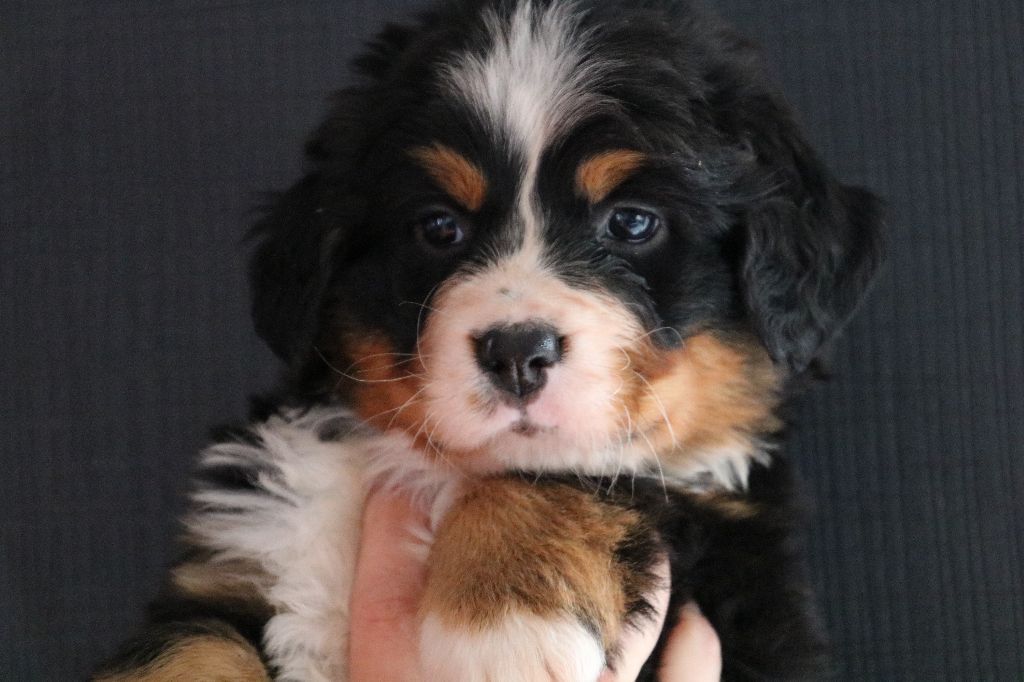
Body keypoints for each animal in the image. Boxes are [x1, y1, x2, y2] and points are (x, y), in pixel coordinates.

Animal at [94, 1, 880, 679]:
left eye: (632, 221)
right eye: (439, 226)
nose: (516, 353)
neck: (431, 473)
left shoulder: (725, 565)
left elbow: (578, 476)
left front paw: (509, 627)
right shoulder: (246, 556)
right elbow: (188, 654)